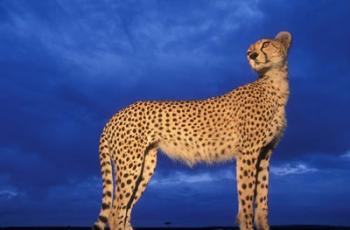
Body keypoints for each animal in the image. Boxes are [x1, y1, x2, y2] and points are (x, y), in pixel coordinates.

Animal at [93, 31, 292, 230]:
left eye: (266, 44)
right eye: (249, 50)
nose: (252, 55)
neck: (274, 83)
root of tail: (115, 115)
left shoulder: (265, 153)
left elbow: (262, 198)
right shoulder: (248, 152)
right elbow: (247, 197)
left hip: (145, 165)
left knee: (125, 209)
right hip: (130, 164)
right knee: (115, 211)